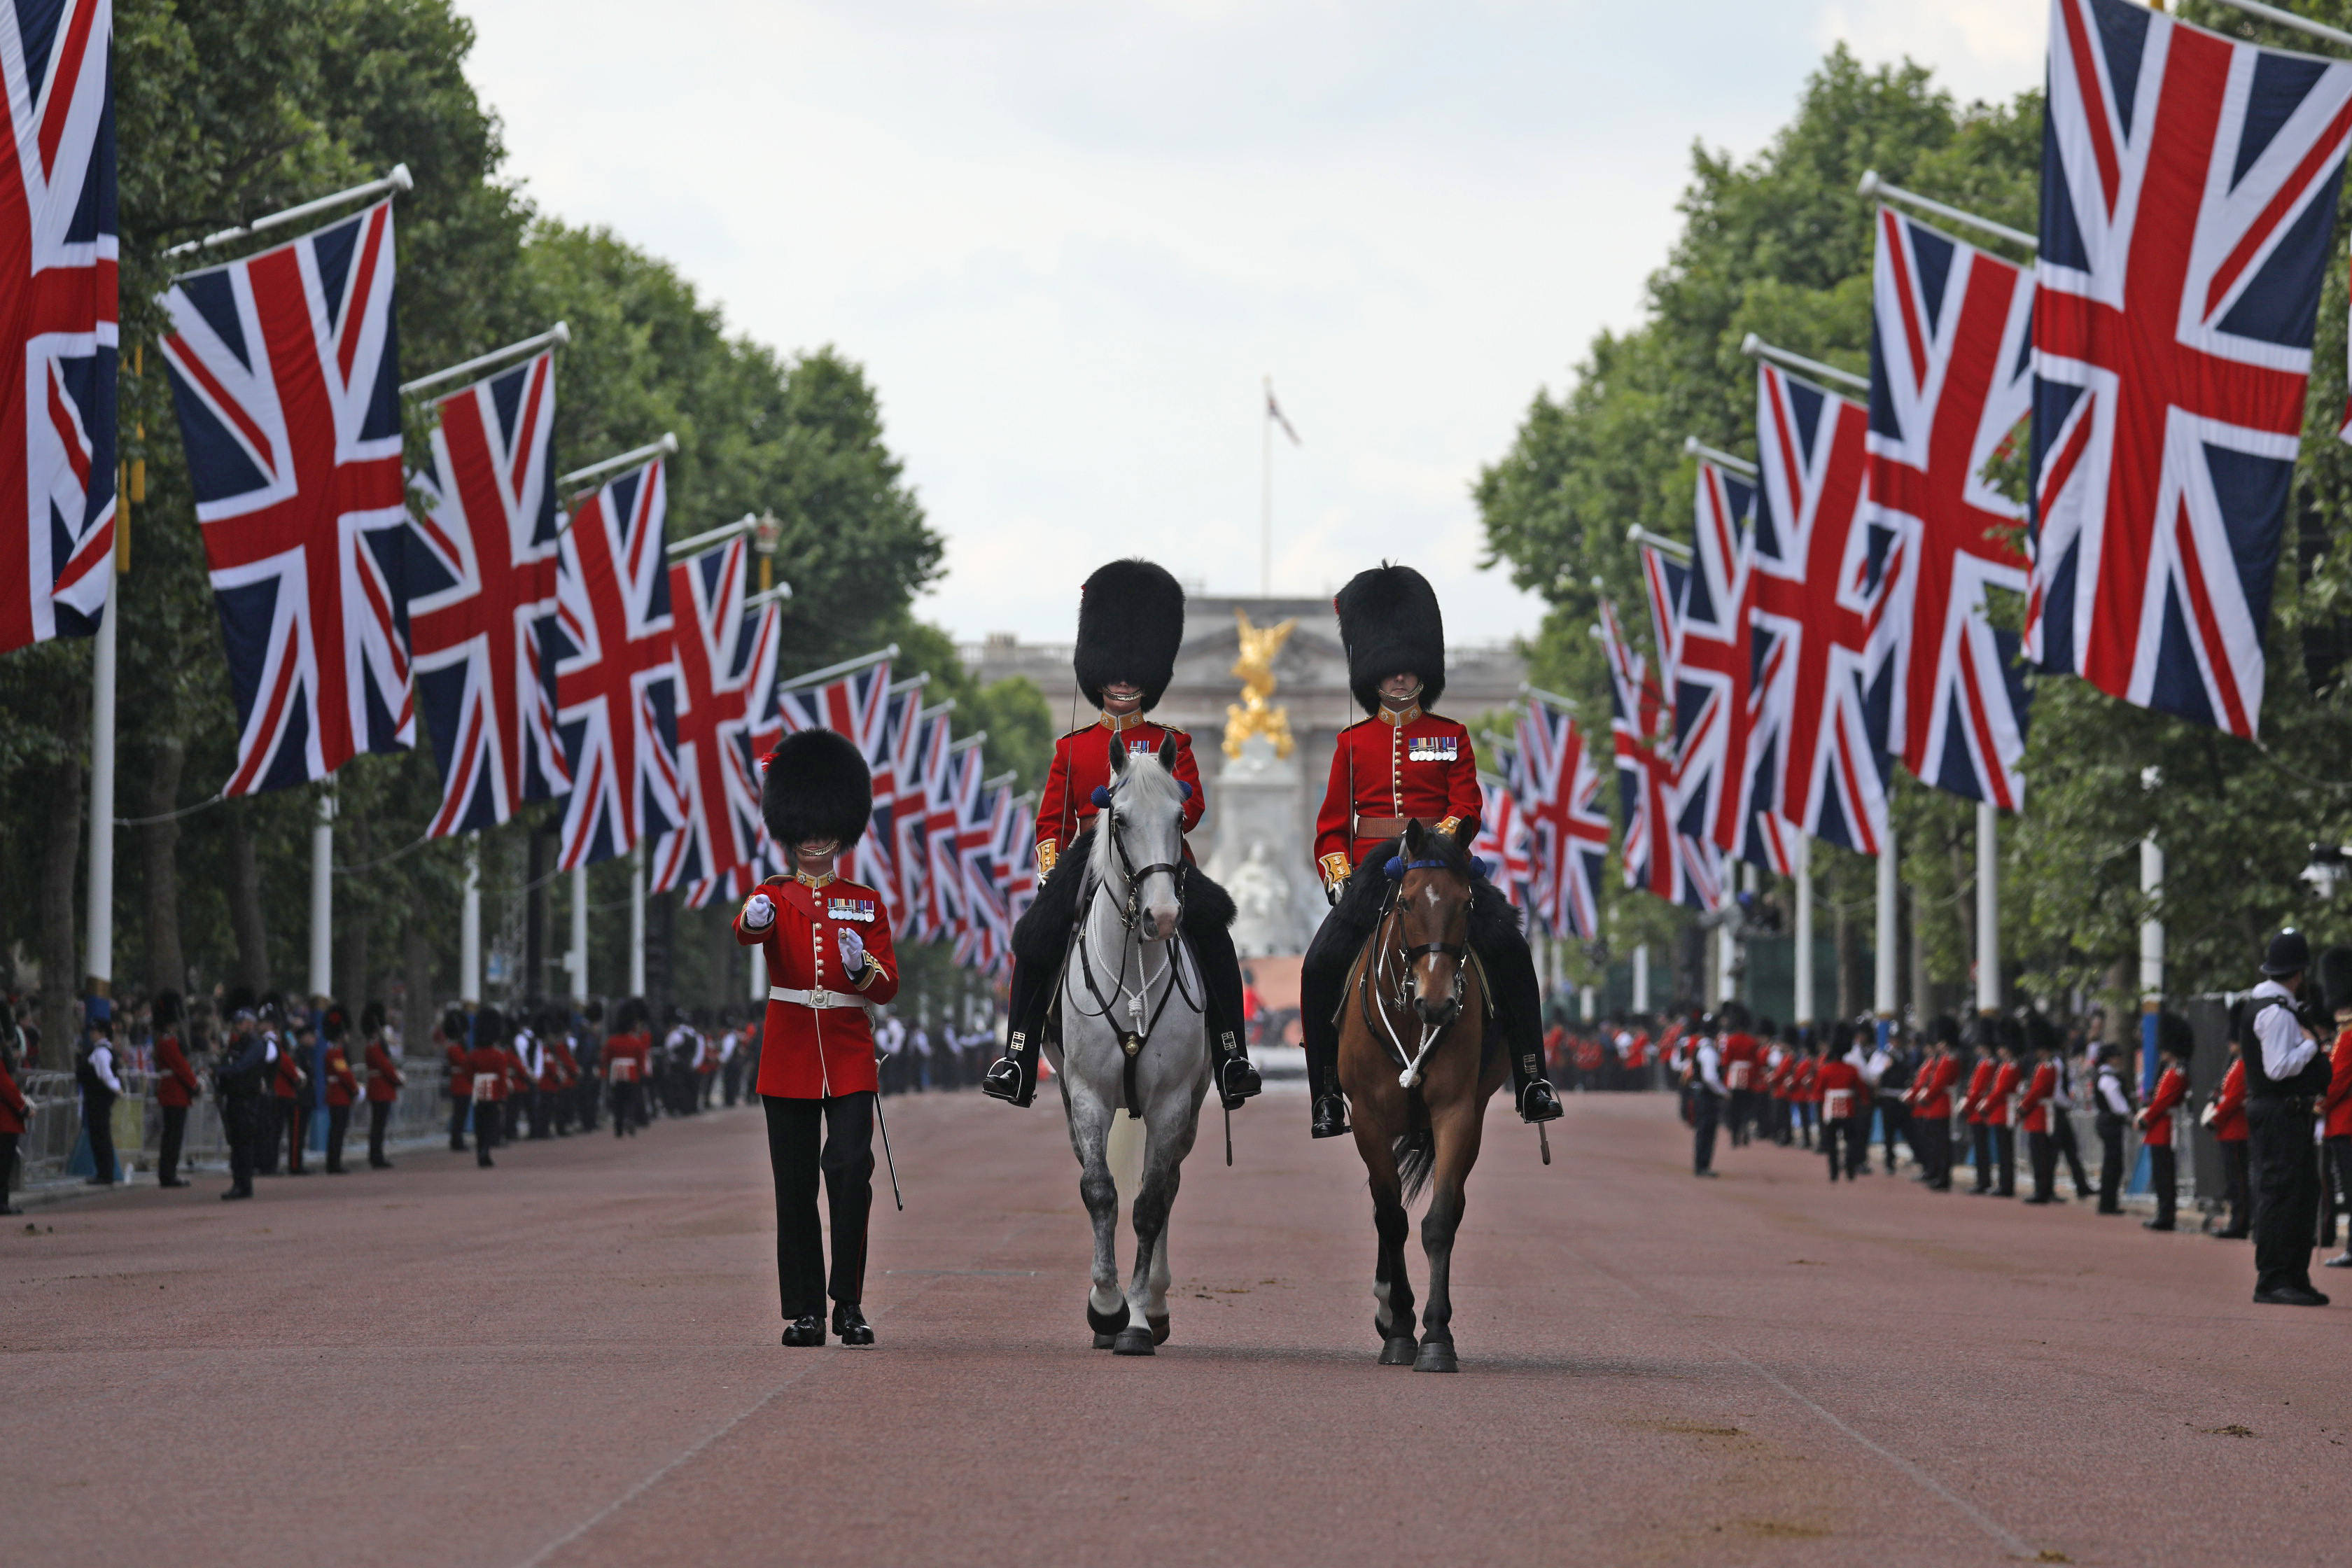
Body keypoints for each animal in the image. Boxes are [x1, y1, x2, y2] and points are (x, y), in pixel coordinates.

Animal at [1049, 743, 1213, 1354]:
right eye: (1118, 820)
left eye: (1180, 818)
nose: (1162, 917)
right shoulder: (1087, 1093)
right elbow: (1099, 1191)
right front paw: (1105, 1306)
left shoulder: (1171, 1102)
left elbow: (1150, 1205)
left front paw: (1137, 1317)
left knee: (1164, 1187)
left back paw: (1156, 1306)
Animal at [1345, 822, 1505, 1373]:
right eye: (1406, 902)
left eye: (1467, 902)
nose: (1437, 1005)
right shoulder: (1368, 1119)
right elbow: (1392, 1219)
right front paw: (1398, 1329)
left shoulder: (1457, 1113)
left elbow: (1437, 1223)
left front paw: (1435, 1335)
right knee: (1383, 1206)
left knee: (1449, 1205)